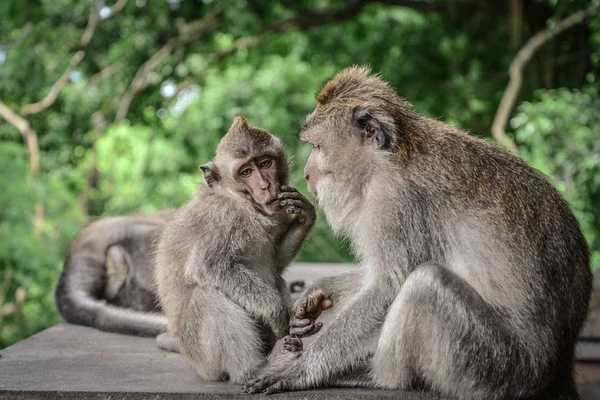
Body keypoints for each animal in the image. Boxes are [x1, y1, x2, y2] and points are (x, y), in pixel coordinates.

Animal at [152, 116, 316, 384]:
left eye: (265, 163)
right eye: (246, 172)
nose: (265, 185)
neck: (243, 203)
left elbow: (276, 262)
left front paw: (306, 215)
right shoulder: (222, 217)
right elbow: (208, 267)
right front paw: (277, 312)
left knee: (274, 278)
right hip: (204, 359)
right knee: (207, 296)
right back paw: (255, 368)